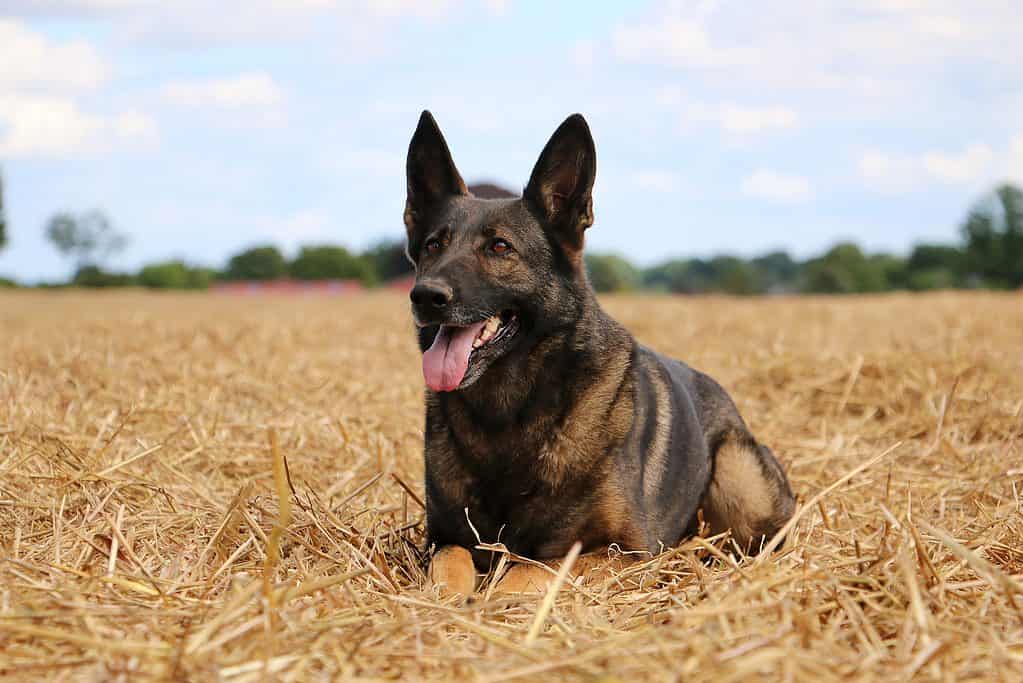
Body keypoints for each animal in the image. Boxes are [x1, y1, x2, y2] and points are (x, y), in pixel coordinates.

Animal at [403, 110, 793, 593]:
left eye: (499, 247)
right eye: (432, 245)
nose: (425, 296)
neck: (508, 414)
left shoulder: (626, 552)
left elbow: (531, 569)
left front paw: (497, 598)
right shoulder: (444, 539)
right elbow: (449, 567)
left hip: (740, 481)